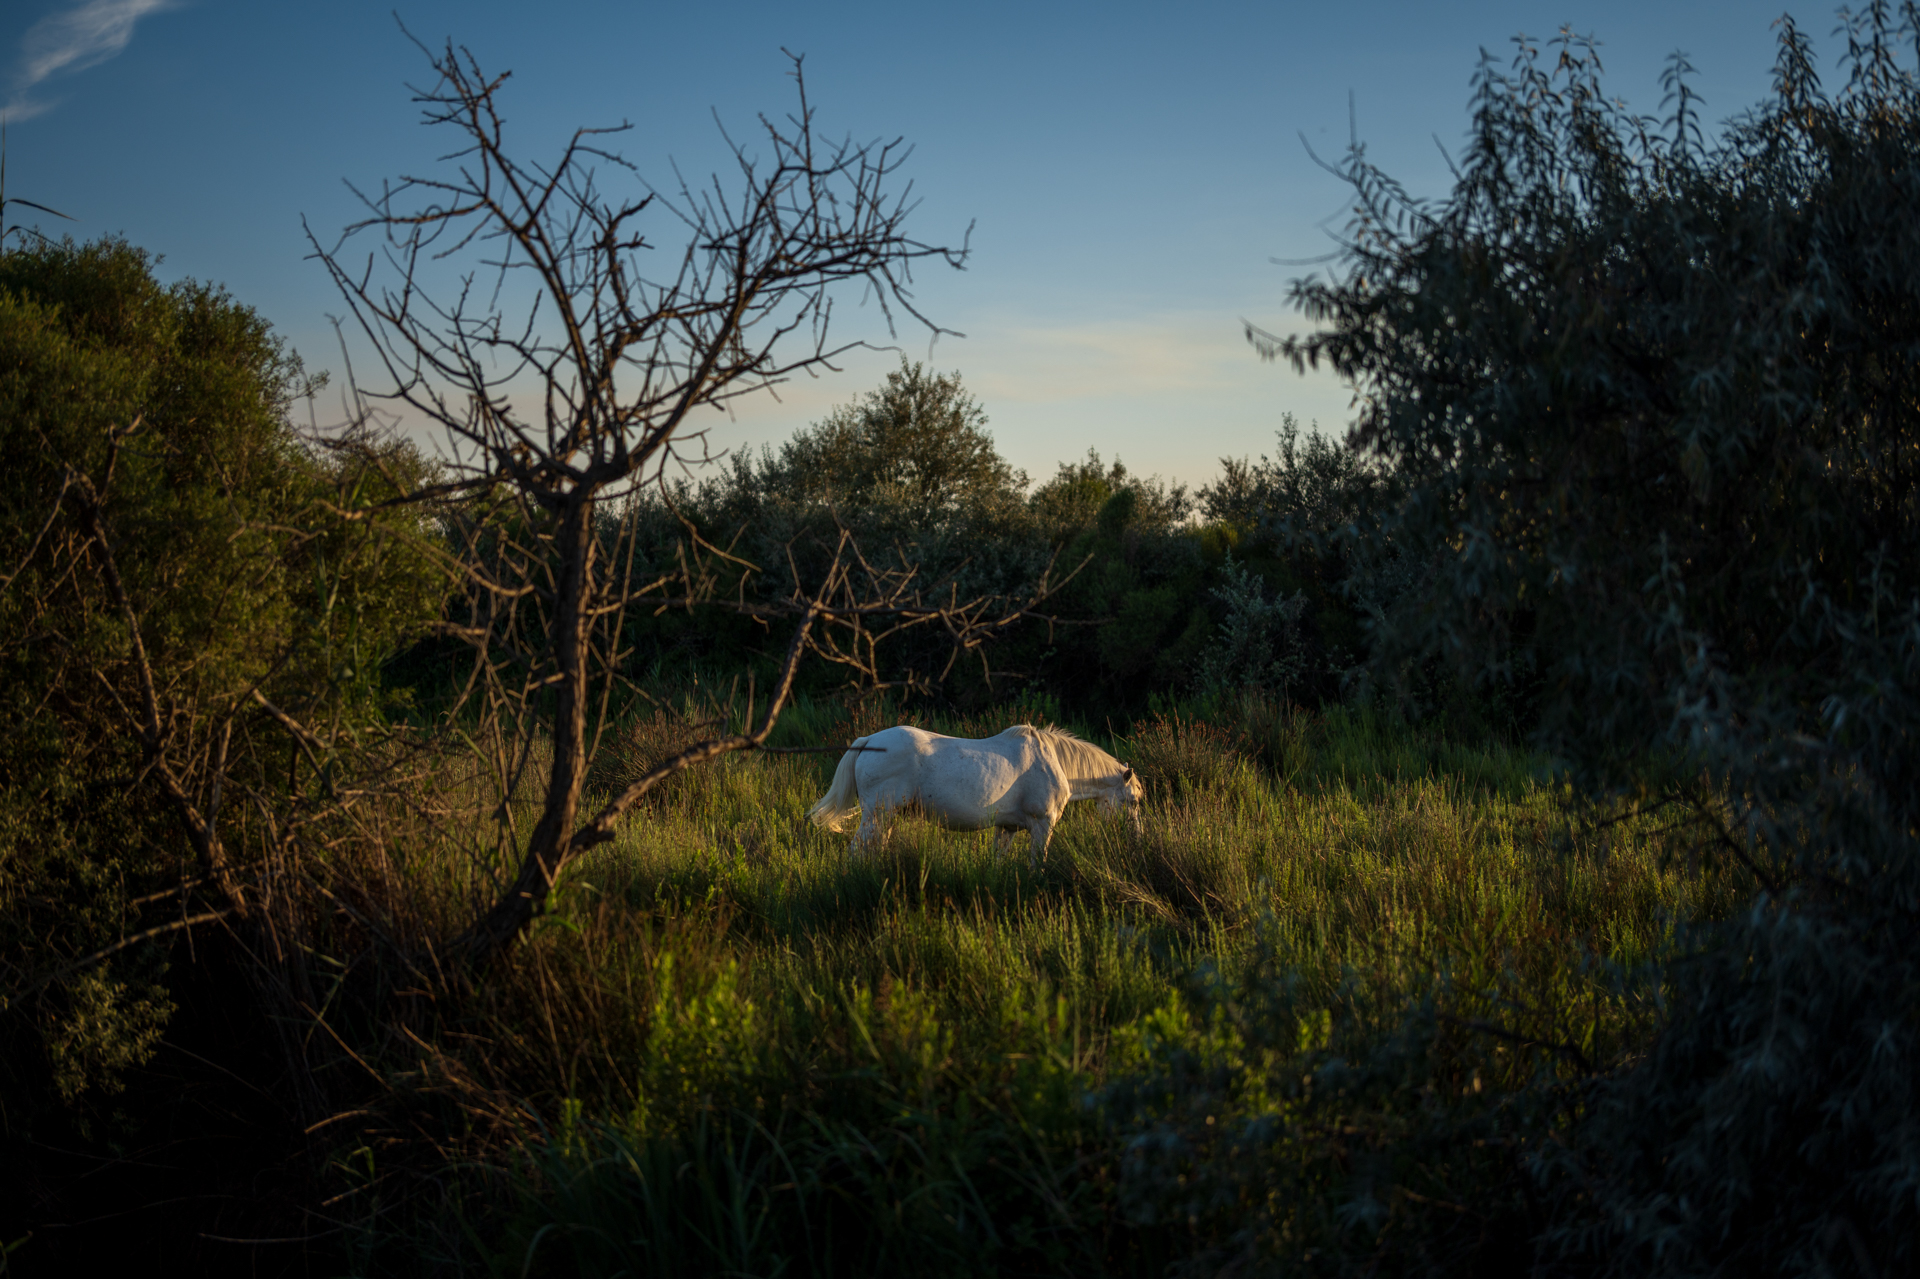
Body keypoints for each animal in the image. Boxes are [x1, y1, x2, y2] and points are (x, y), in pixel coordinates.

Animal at [808, 724, 1144, 864]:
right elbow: (1038, 862)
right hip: (876, 815)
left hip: (886, 818)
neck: (1053, 762)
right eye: (1133, 801)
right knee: (855, 852)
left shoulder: (1006, 828)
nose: (1137, 839)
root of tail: (867, 741)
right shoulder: (1042, 825)